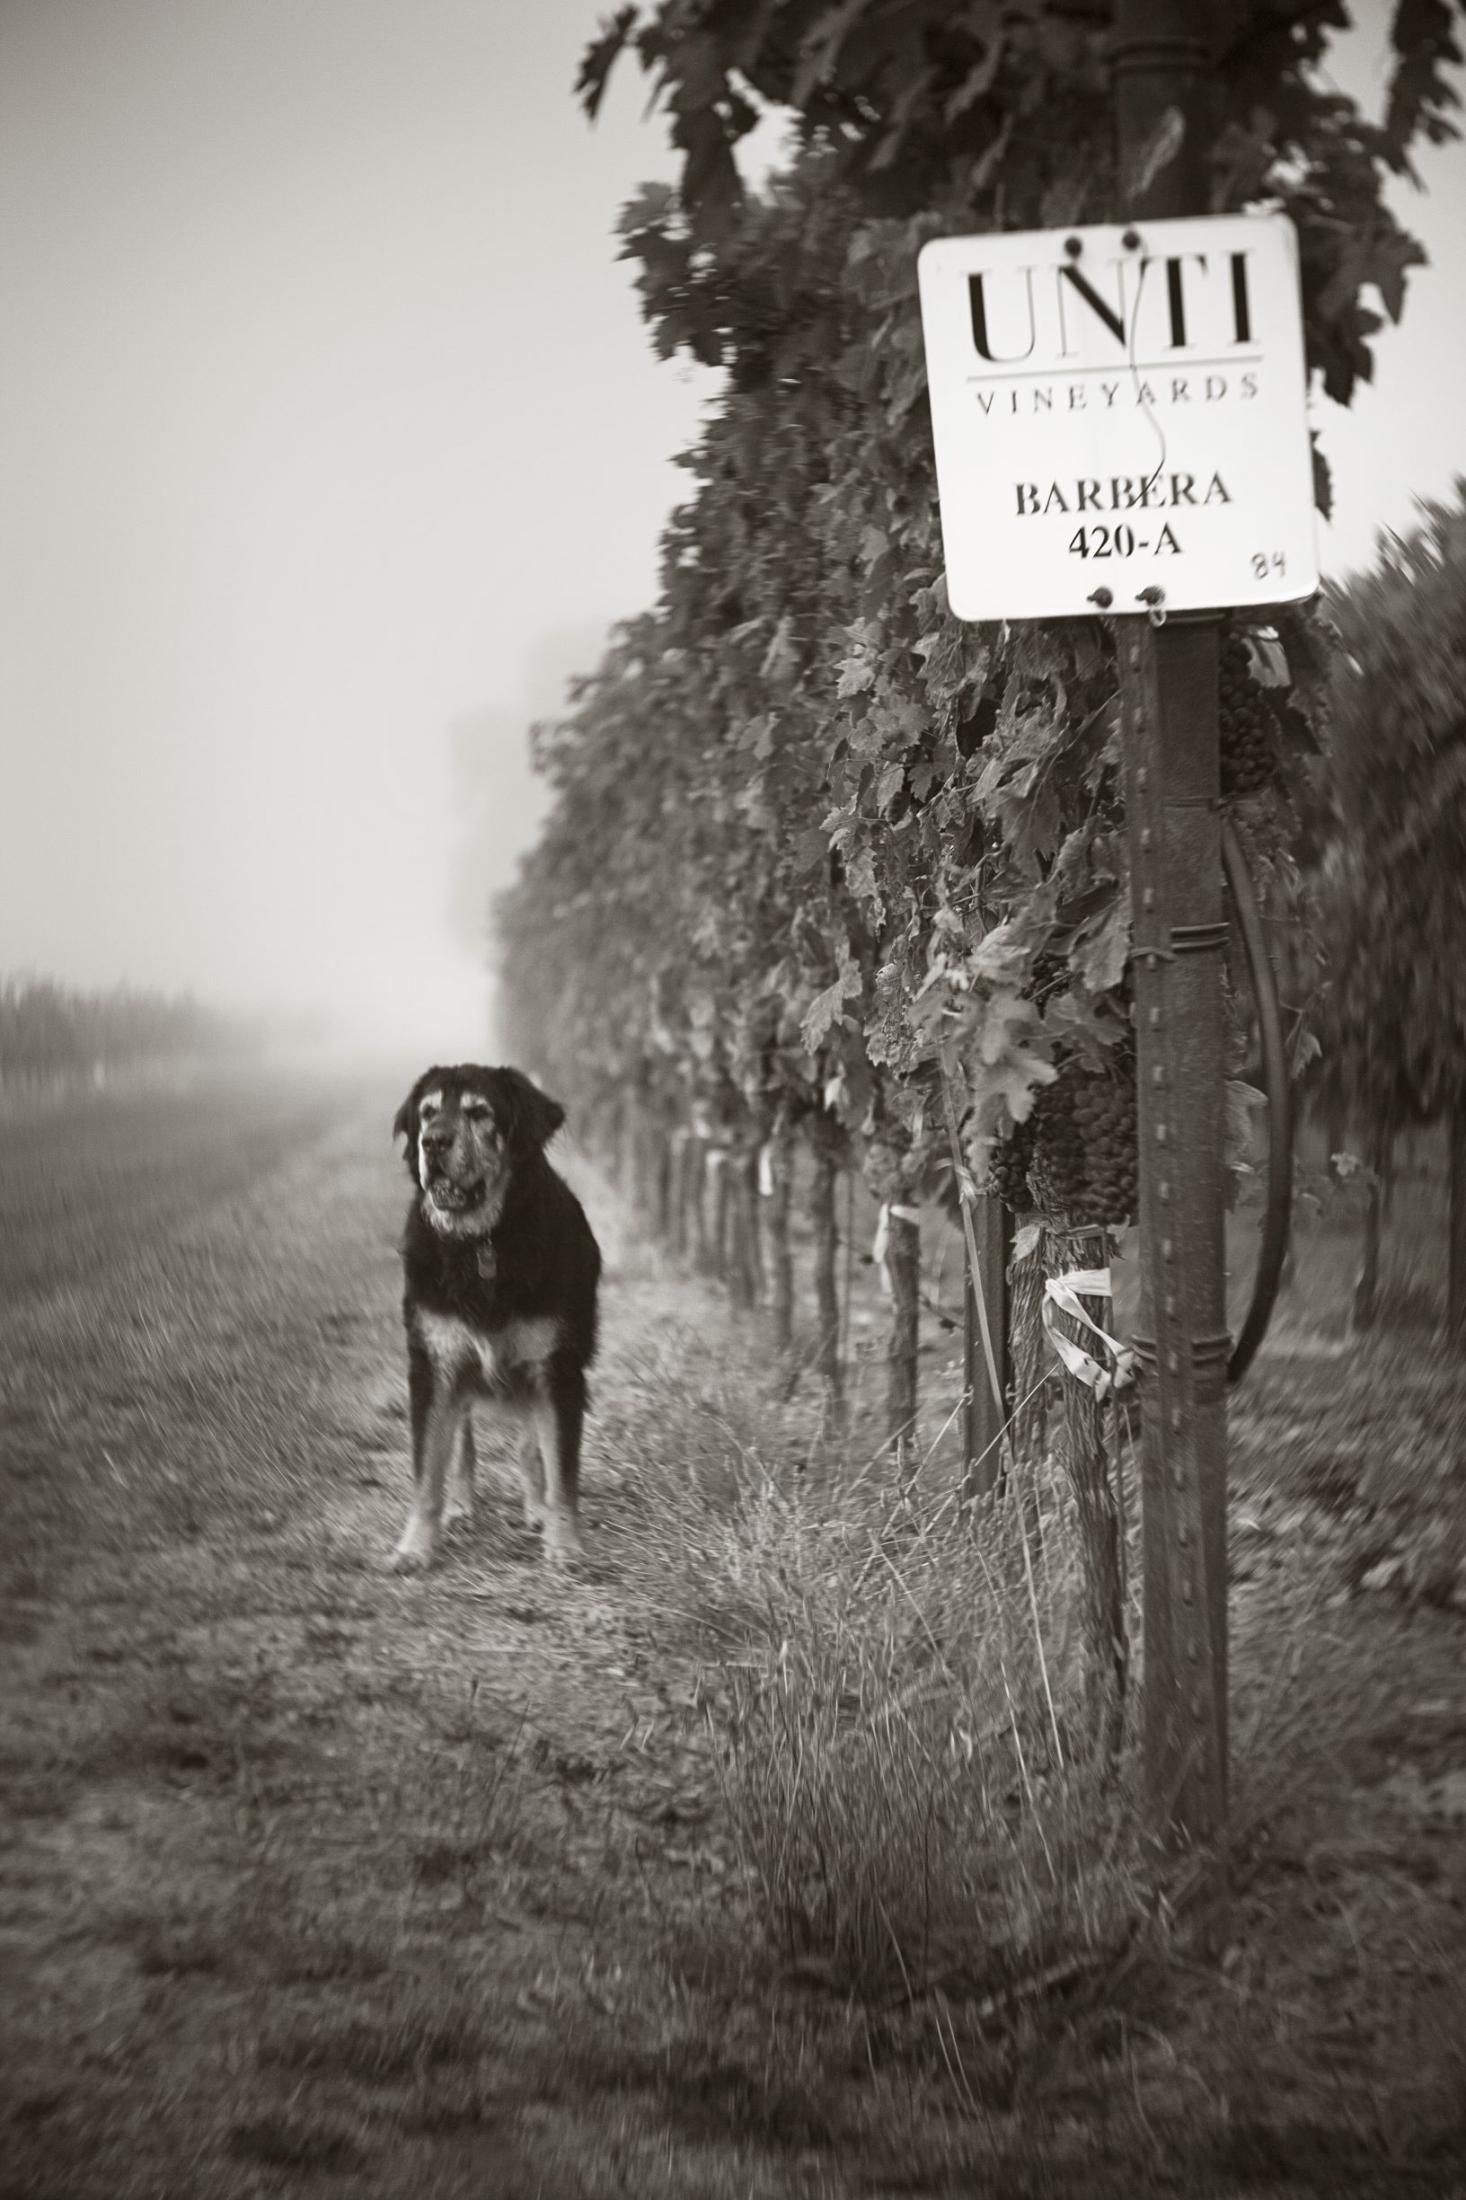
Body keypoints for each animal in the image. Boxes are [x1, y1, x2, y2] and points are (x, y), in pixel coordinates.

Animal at [387, 1060, 598, 1566]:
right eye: (427, 1114)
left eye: (480, 1113)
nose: (433, 1143)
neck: (481, 1243)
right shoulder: (434, 1364)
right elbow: (428, 1466)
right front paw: (415, 1546)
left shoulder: (557, 1369)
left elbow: (561, 1468)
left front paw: (565, 1544)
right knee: (461, 1442)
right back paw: (460, 1505)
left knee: (530, 1447)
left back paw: (536, 1509)